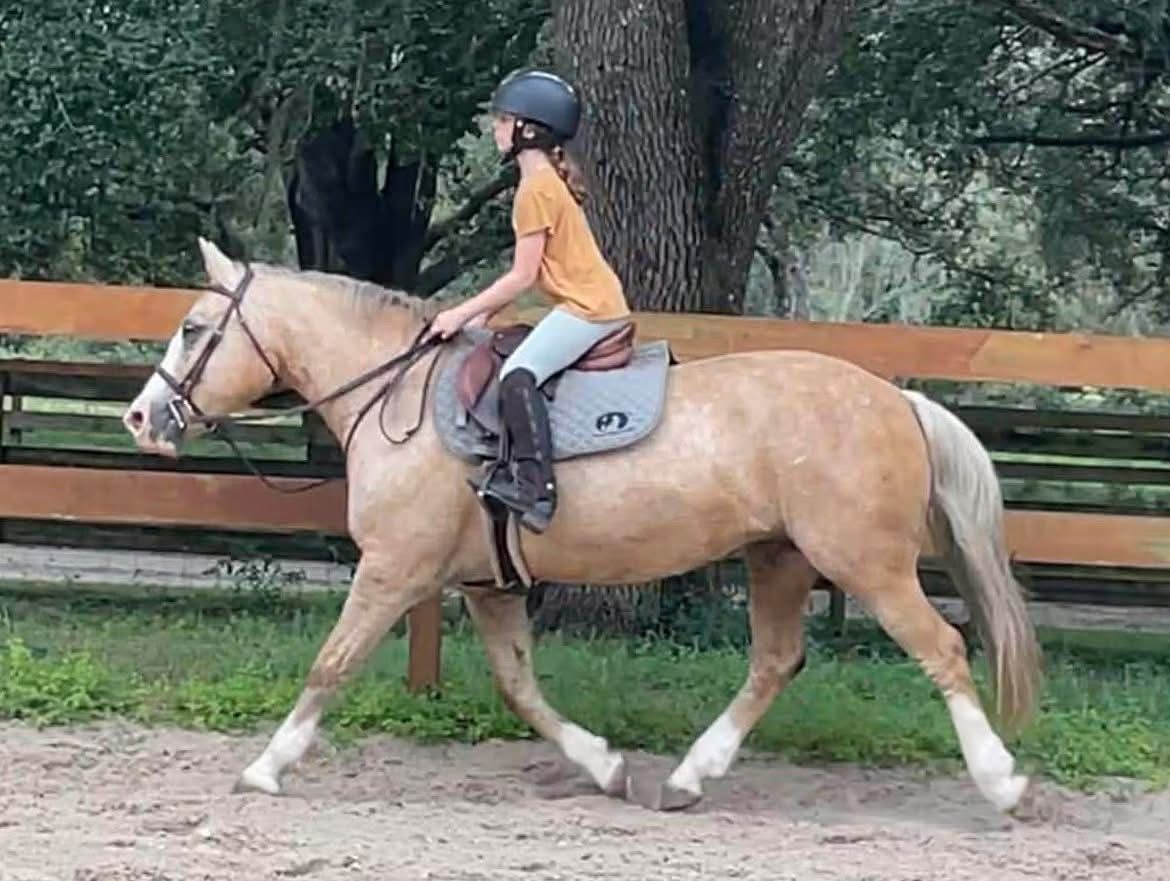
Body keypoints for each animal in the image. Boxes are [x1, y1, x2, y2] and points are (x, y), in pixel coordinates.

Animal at [122, 237, 1041, 814]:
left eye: (195, 330)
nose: (141, 417)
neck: (399, 394)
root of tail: (897, 398)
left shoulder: (393, 569)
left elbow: (331, 663)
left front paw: (264, 767)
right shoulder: (486, 585)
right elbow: (520, 687)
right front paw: (605, 765)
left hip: (865, 564)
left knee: (941, 649)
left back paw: (1002, 783)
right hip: (778, 557)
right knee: (776, 661)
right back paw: (687, 779)